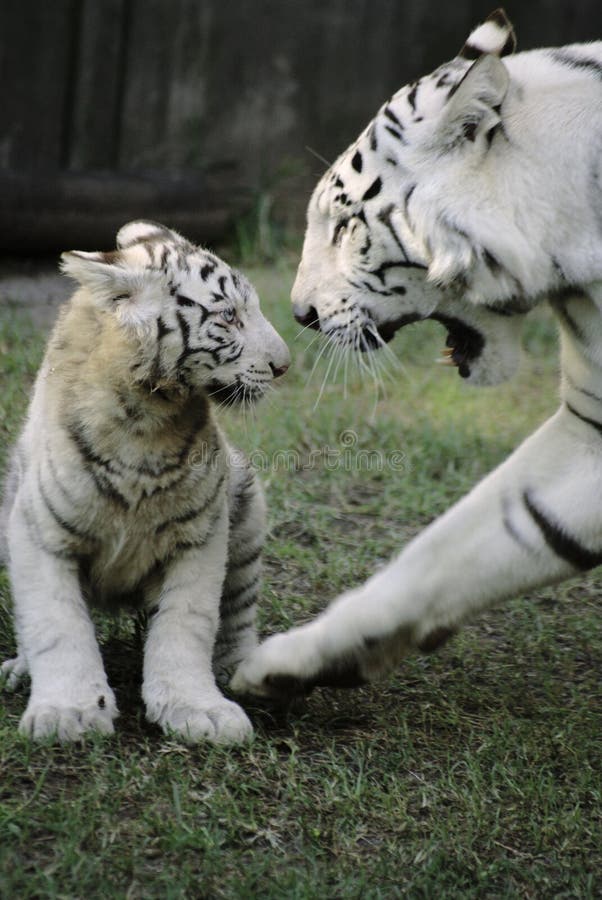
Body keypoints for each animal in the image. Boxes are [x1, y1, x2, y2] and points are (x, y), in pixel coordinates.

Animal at [0, 221, 290, 740]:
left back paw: (242, 672)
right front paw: (68, 713)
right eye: (230, 316)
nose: (284, 365)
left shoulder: (201, 536)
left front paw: (198, 710)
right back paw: (19, 669)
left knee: (237, 611)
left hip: (247, 508)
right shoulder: (39, 532)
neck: (146, 419)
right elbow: (56, 623)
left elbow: (188, 622)